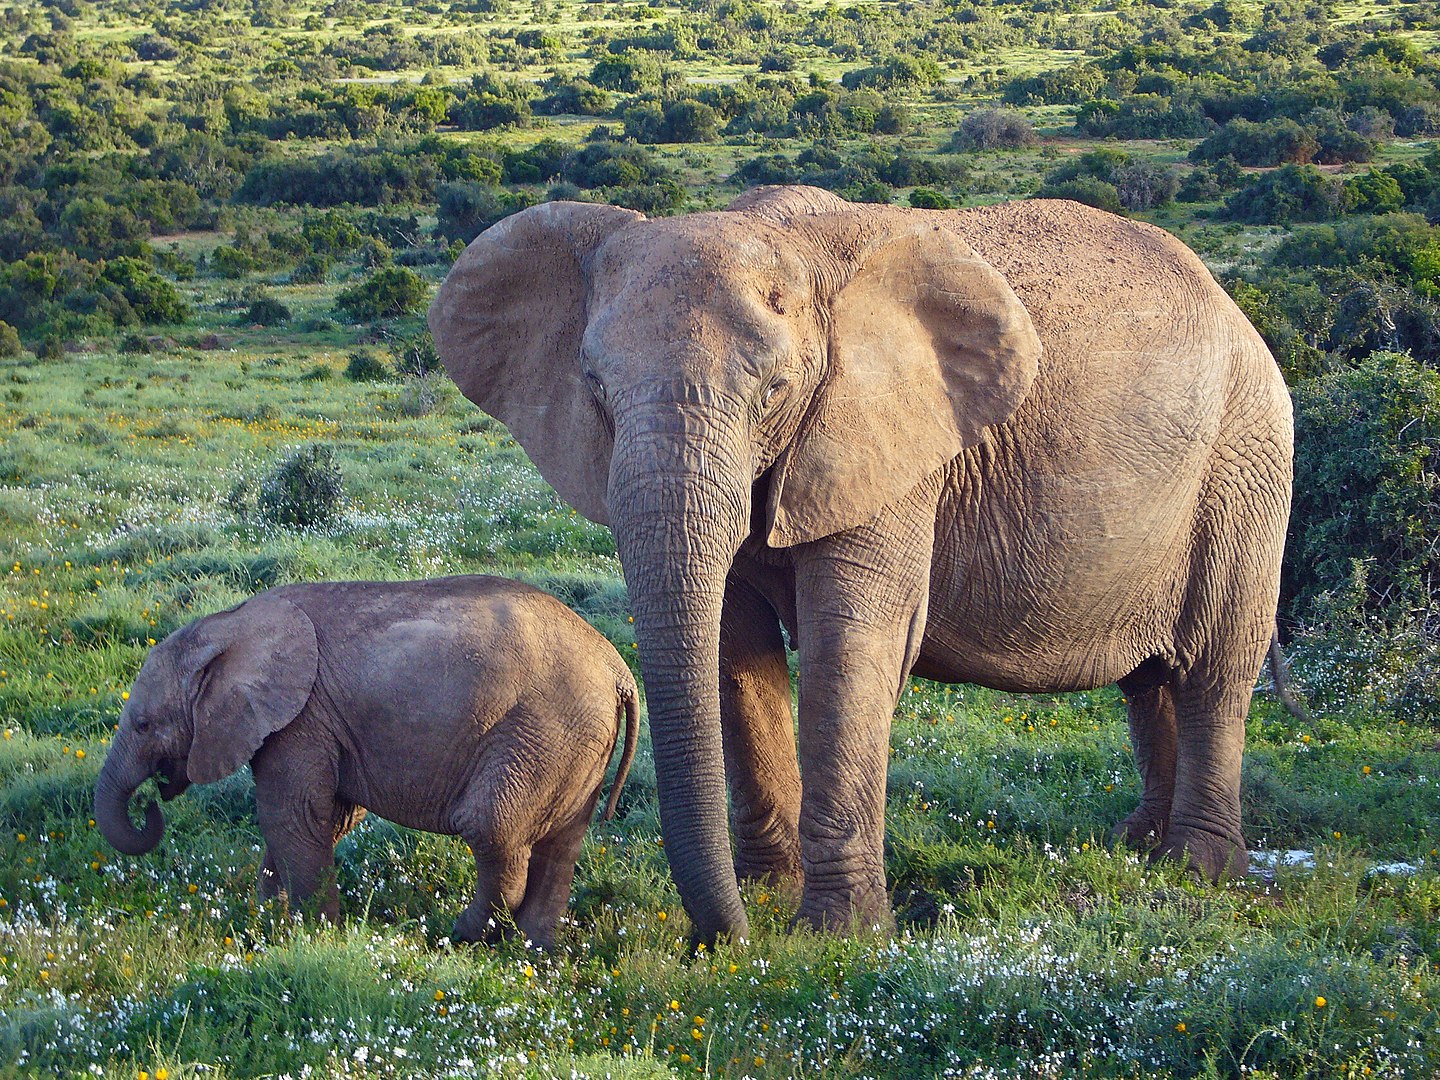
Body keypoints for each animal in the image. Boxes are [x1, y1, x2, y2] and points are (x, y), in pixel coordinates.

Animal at [98, 576, 639, 944]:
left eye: (142, 724)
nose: (151, 802)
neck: (228, 624)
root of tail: (618, 670)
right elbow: (325, 818)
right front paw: (267, 920)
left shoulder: (300, 719)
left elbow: (291, 814)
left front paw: (313, 935)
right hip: (577, 743)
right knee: (561, 844)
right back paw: (532, 950)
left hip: (542, 730)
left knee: (492, 828)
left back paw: (457, 935)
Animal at [426, 188, 1296, 944]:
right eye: (595, 390)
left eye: (775, 390)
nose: (722, 942)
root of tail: (1231, 304)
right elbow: (734, 651)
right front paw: (770, 894)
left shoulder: (891, 441)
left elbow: (853, 644)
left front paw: (834, 934)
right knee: (1149, 680)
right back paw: (1138, 848)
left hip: (1246, 459)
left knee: (1215, 665)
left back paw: (1198, 868)